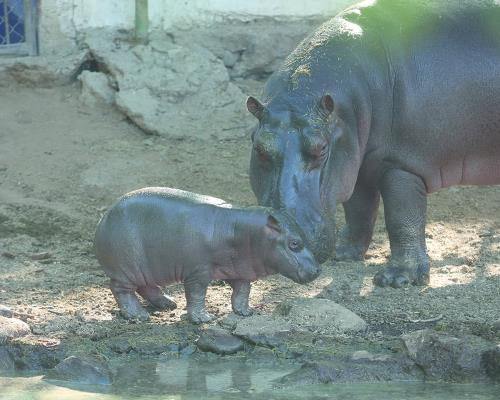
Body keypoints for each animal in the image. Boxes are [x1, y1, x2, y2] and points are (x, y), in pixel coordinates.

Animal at [94, 187, 320, 322]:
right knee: (121, 290)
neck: (240, 229)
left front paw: (246, 312)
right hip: (126, 269)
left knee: (146, 287)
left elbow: (242, 291)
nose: (318, 270)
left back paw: (168, 303)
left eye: (304, 234)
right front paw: (203, 319)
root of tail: (104, 217)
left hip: (146, 269)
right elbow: (197, 294)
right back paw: (139, 316)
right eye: (294, 243)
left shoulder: (240, 271)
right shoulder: (198, 273)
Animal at [246, 0, 500, 288]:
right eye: (259, 147)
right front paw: (344, 253)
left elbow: (402, 218)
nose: (287, 235)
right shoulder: (356, 161)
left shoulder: (402, 163)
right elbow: (359, 209)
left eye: (321, 149)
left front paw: (398, 278)